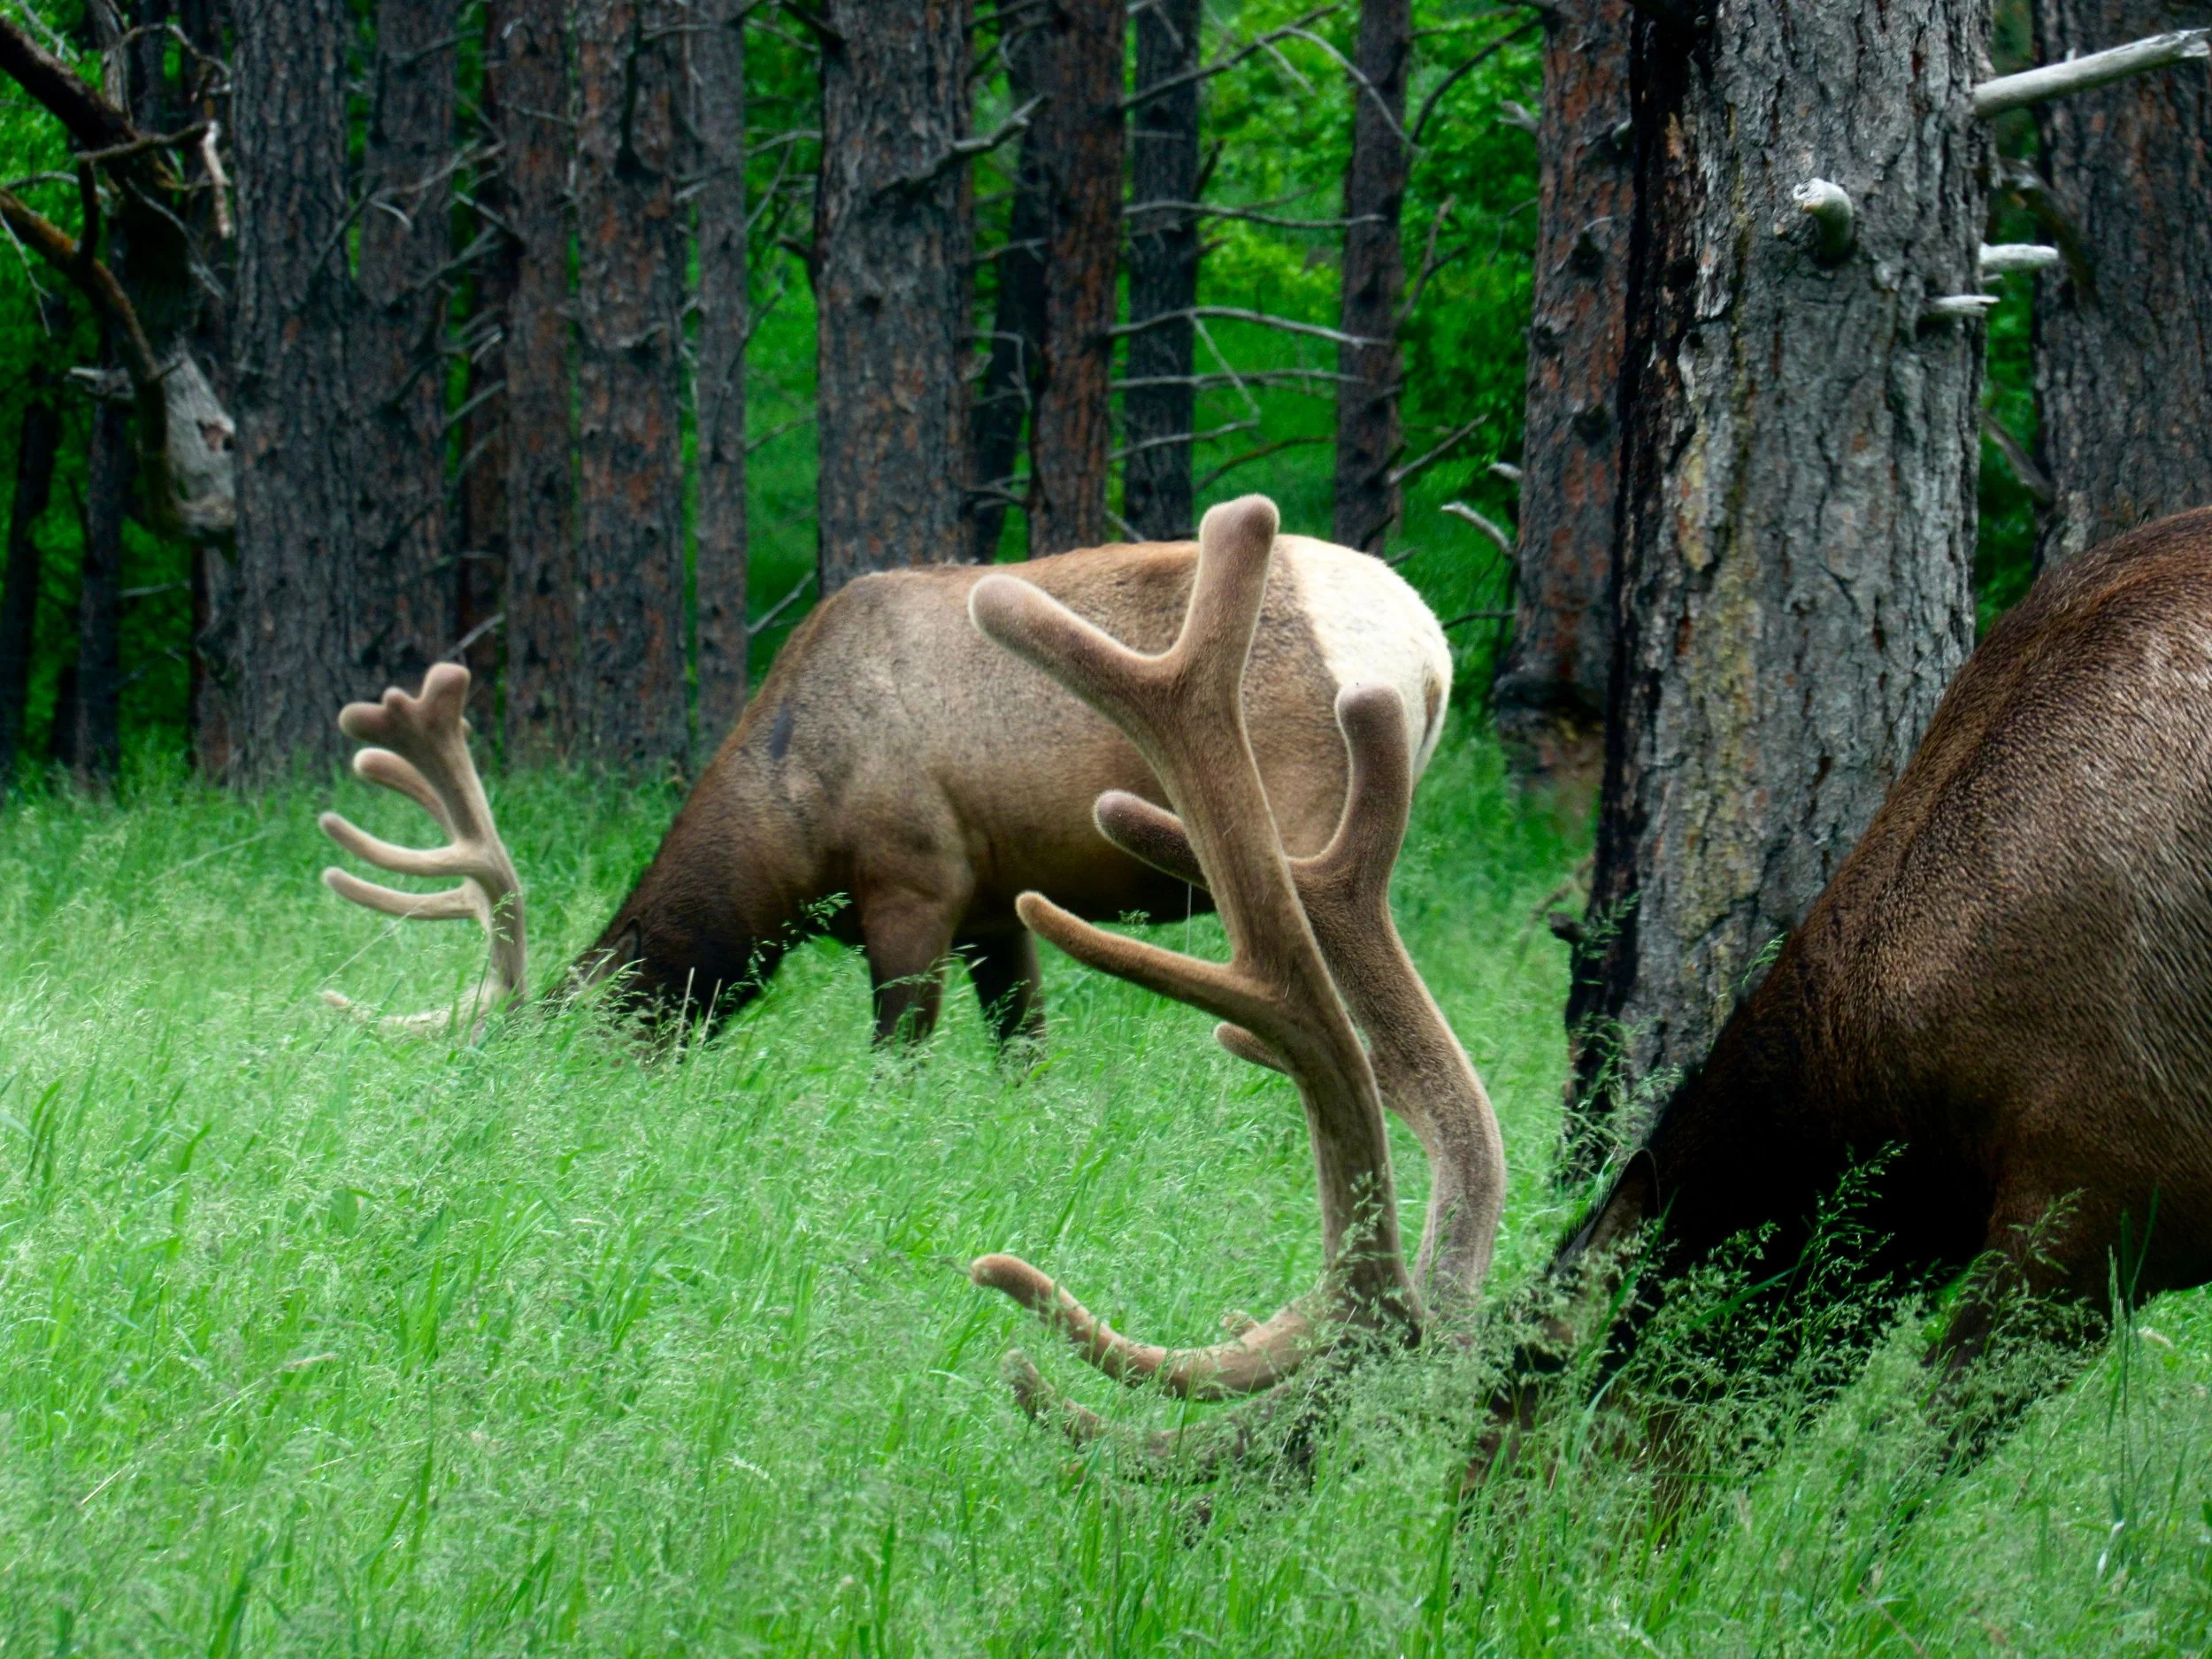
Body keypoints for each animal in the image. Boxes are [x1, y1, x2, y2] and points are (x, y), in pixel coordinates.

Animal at [316, 528, 1451, 1045]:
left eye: (571, 1050)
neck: (788, 847)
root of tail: (1429, 646)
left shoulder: (913, 885)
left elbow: (896, 1058)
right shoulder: (997, 909)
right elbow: (1024, 1057)